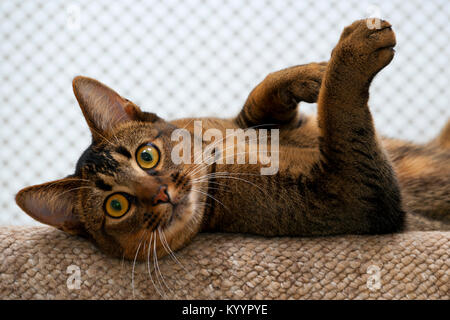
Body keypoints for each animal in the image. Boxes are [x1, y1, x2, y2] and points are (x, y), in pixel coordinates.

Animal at [14, 18, 450, 260]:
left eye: (147, 156)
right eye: (117, 206)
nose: (161, 193)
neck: (220, 156)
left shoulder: (265, 122)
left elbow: (261, 98)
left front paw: (312, 73)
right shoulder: (353, 197)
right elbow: (339, 113)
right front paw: (352, 50)